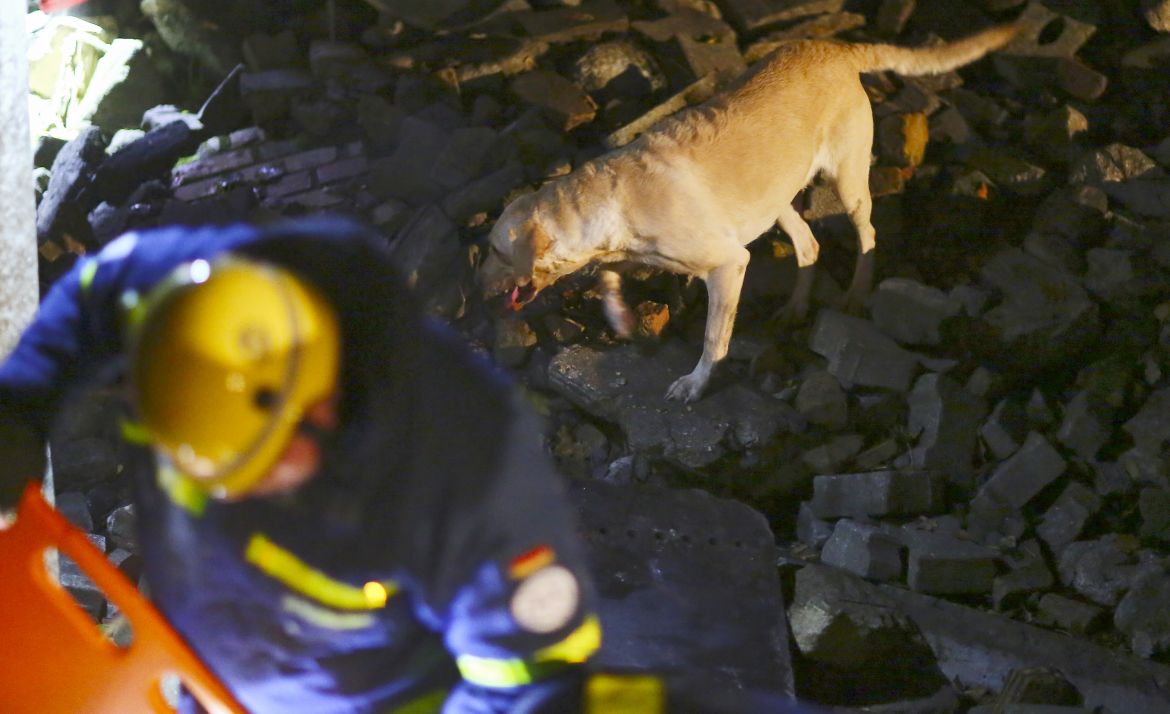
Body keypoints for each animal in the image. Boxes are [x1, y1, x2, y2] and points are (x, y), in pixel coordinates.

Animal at [479, 22, 1020, 400]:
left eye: (497, 253)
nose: (476, 289)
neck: (610, 196)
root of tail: (835, 48)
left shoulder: (728, 264)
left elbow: (714, 338)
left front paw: (696, 383)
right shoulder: (627, 252)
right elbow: (609, 276)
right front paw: (622, 319)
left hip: (847, 181)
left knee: (866, 235)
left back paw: (855, 293)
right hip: (774, 198)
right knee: (809, 245)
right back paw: (796, 307)